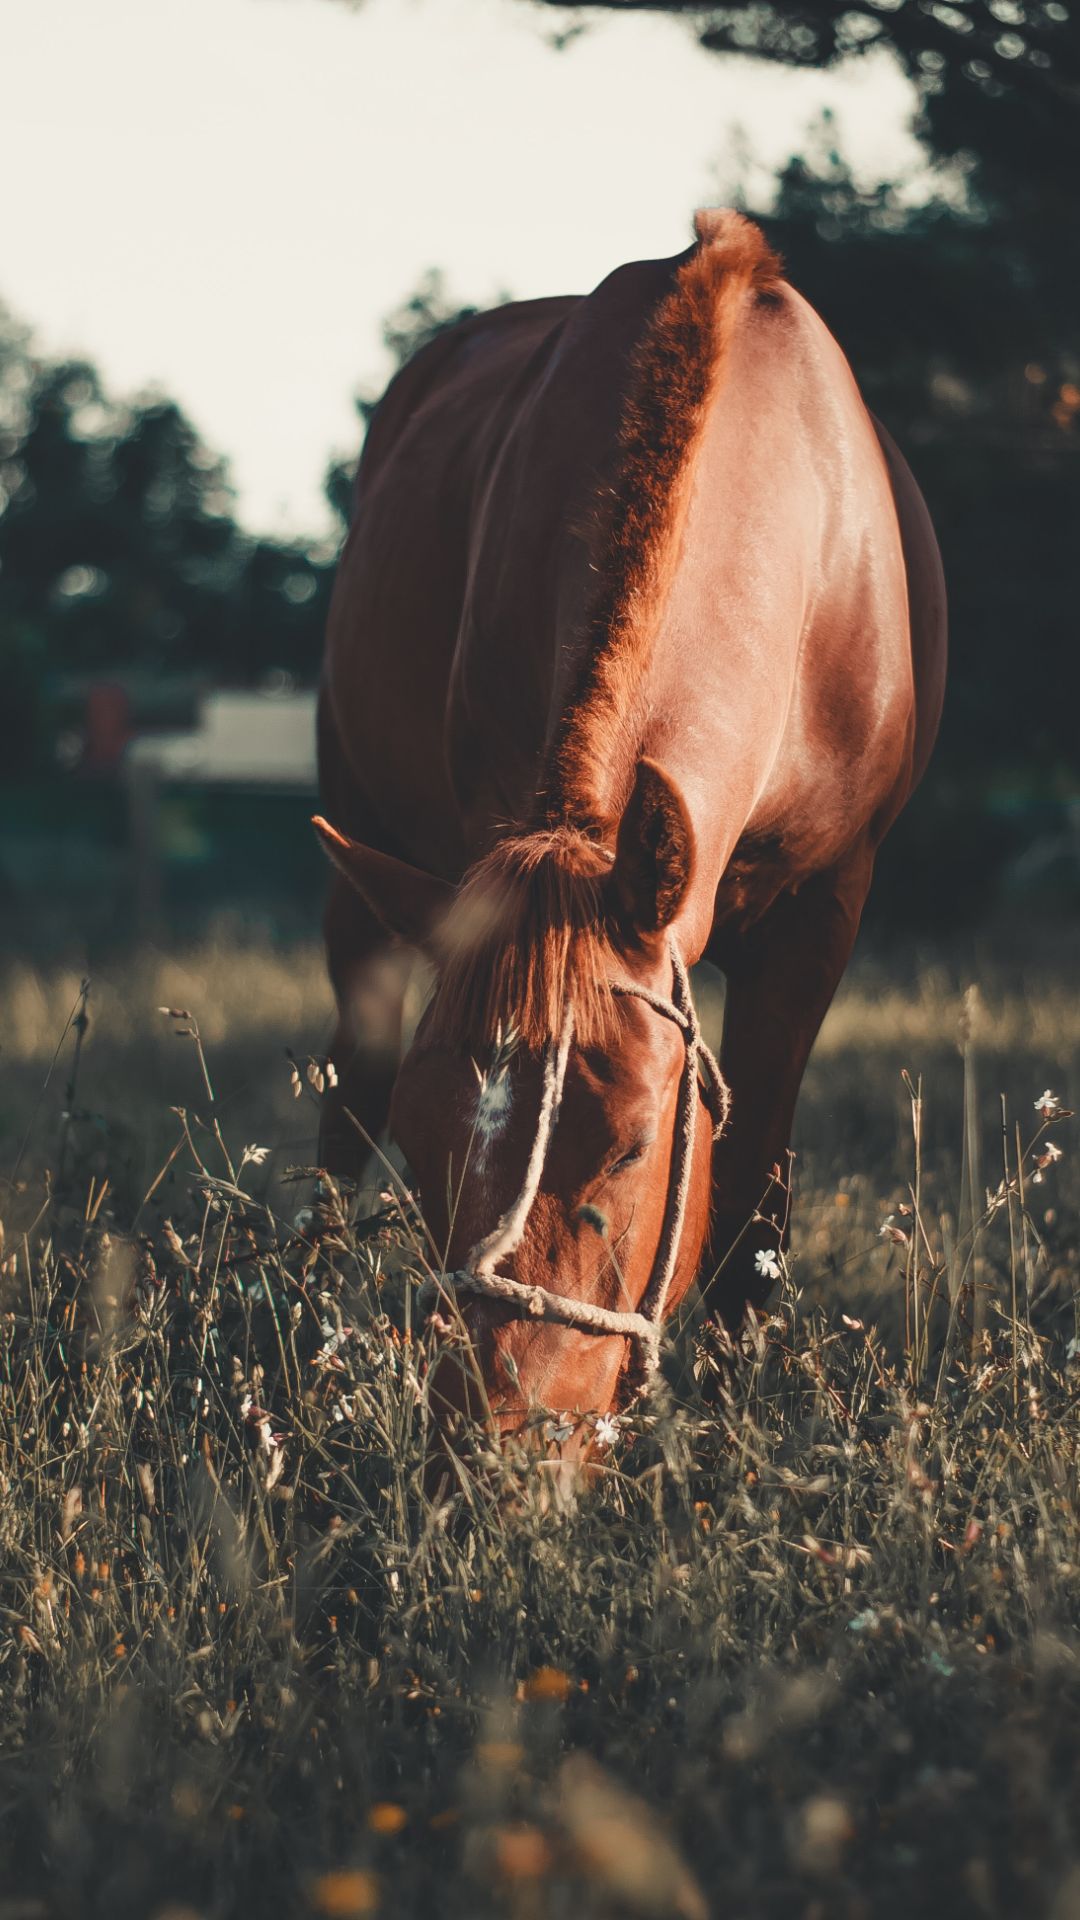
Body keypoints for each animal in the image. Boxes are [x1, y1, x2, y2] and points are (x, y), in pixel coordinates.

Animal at [311, 206, 941, 1443]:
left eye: (637, 1147)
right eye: (425, 1141)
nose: (502, 1445)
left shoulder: (823, 914)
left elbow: (752, 1208)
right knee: (341, 1097)